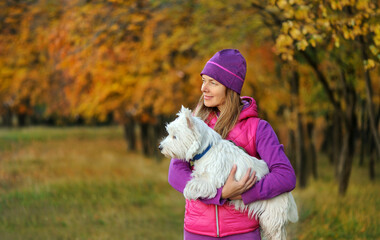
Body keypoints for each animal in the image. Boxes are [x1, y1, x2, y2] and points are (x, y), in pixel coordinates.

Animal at [159, 107, 298, 240]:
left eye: (175, 136)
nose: (160, 147)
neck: (206, 150)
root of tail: (288, 194)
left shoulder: (211, 179)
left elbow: (197, 184)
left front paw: (189, 190)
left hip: (272, 215)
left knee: (276, 232)